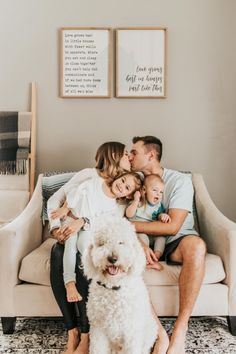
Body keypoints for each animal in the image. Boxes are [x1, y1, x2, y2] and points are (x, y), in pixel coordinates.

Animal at [82, 216, 158, 354]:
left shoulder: (131, 332)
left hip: (150, 330)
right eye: (102, 243)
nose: (112, 258)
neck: (114, 288)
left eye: (121, 242)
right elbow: (97, 349)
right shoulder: (98, 329)